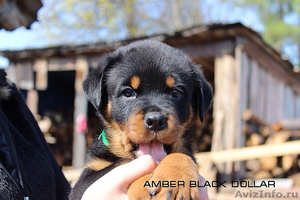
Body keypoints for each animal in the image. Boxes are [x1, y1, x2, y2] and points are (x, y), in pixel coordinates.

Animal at [69, 39, 212, 199]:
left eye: (176, 93)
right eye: (128, 92)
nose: (155, 120)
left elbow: (182, 155)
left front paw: (176, 179)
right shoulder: (82, 183)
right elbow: (122, 163)